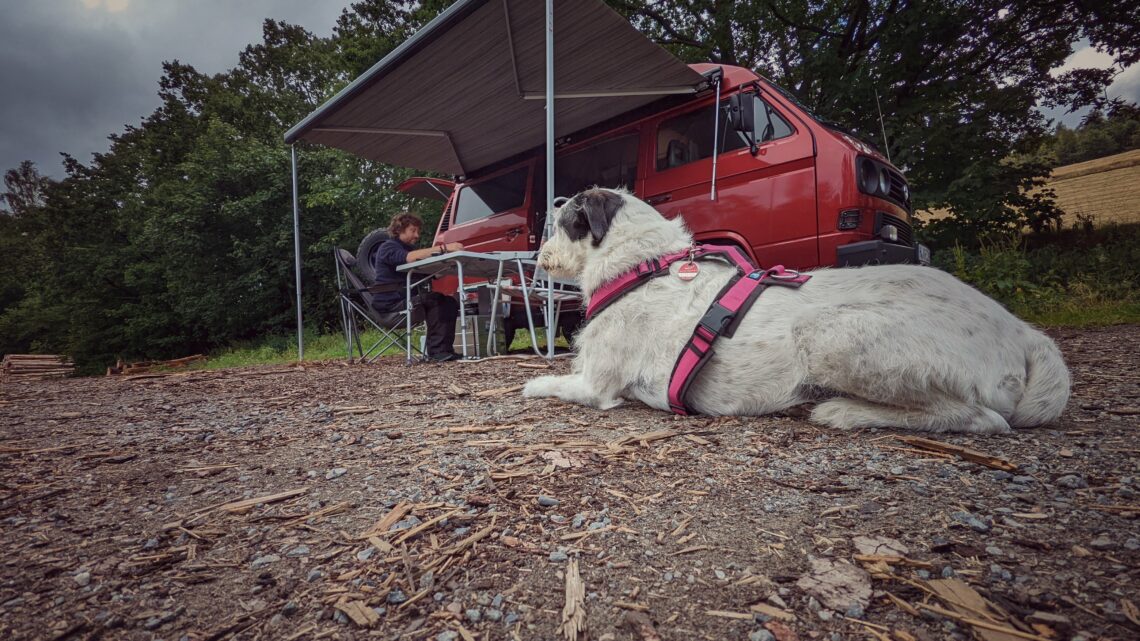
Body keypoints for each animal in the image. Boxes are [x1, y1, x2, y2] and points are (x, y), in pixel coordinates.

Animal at [522, 185, 1071, 433]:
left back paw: (842, 411)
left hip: (826, 331)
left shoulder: (596, 385)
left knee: (981, 418)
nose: (537, 249)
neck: (644, 264)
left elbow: (541, 384)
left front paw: (531, 385)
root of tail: (1022, 332)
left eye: (561, 220)